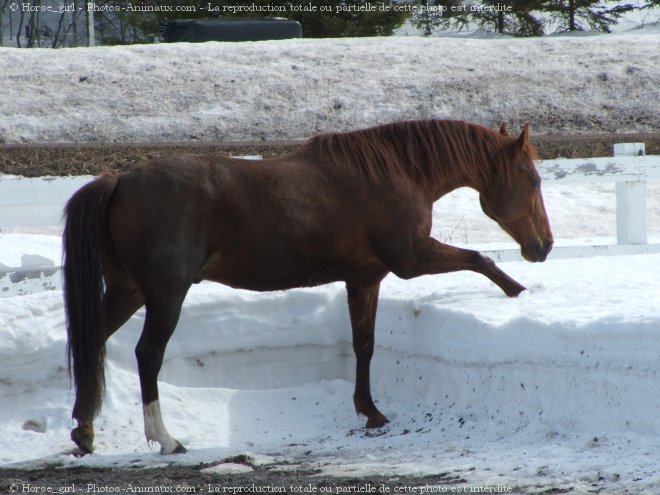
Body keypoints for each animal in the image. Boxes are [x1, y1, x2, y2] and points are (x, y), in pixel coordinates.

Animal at [64, 118, 552, 456]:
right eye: (533, 180)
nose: (543, 246)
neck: (393, 173)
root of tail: (119, 180)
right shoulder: (412, 260)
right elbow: (479, 258)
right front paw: (517, 291)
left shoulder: (363, 279)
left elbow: (363, 345)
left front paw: (370, 412)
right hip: (165, 295)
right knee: (148, 355)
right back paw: (166, 439)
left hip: (128, 292)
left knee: (92, 340)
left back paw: (84, 431)